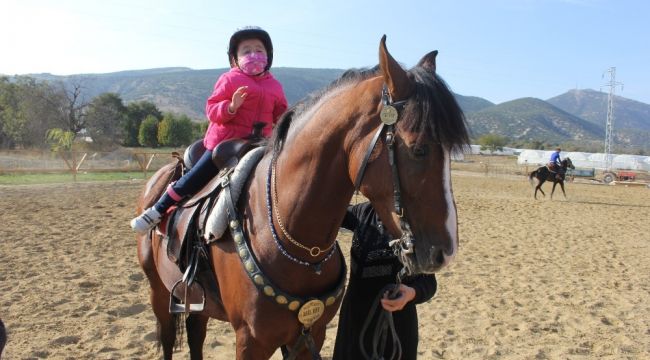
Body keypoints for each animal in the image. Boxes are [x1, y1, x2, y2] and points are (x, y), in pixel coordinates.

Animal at [135, 35, 466, 358]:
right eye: (419, 149)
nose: (445, 253)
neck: (299, 245)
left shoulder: (310, 335)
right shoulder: (251, 342)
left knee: (196, 335)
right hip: (158, 291)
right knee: (168, 338)